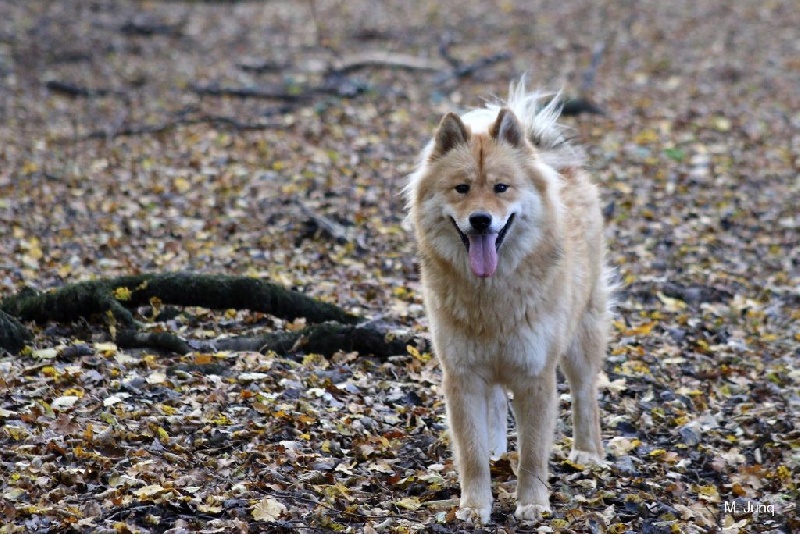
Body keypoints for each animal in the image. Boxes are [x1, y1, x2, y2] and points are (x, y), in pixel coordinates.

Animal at [406, 77, 612, 524]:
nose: (481, 220)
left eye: (501, 188)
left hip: (581, 338)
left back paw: (588, 452)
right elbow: (470, 452)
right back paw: (498, 450)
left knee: (585, 394)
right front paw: (474, 506)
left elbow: (534, 452)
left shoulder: (536, 376)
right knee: (497, 405)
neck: (492, 296)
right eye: (462, 188)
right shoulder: (463, 376)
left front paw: (532, 503)